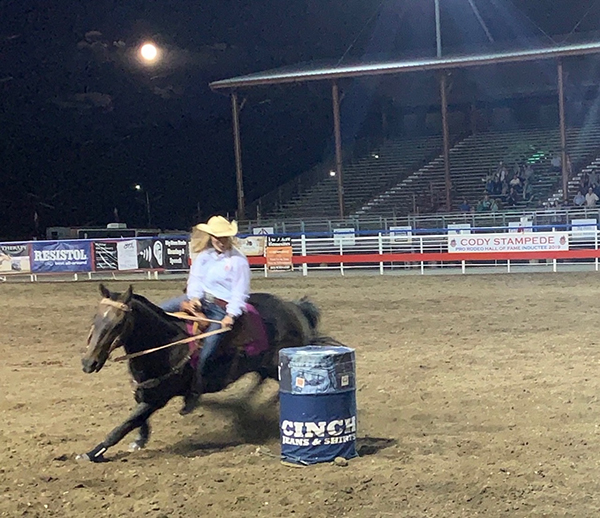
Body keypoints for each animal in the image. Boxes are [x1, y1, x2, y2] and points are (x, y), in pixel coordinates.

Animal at [82, 286, 322, 466]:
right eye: (95, 318)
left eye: (118, 323)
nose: (88, 363)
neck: (165, 342)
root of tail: (294, 307)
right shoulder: (145, 389)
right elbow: (138, 419)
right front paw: (140, 440)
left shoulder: (159, 398)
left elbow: (126, 424)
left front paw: (93, 452)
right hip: (263, 366)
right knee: (259, 381)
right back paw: (244, 406)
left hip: (278, 365)